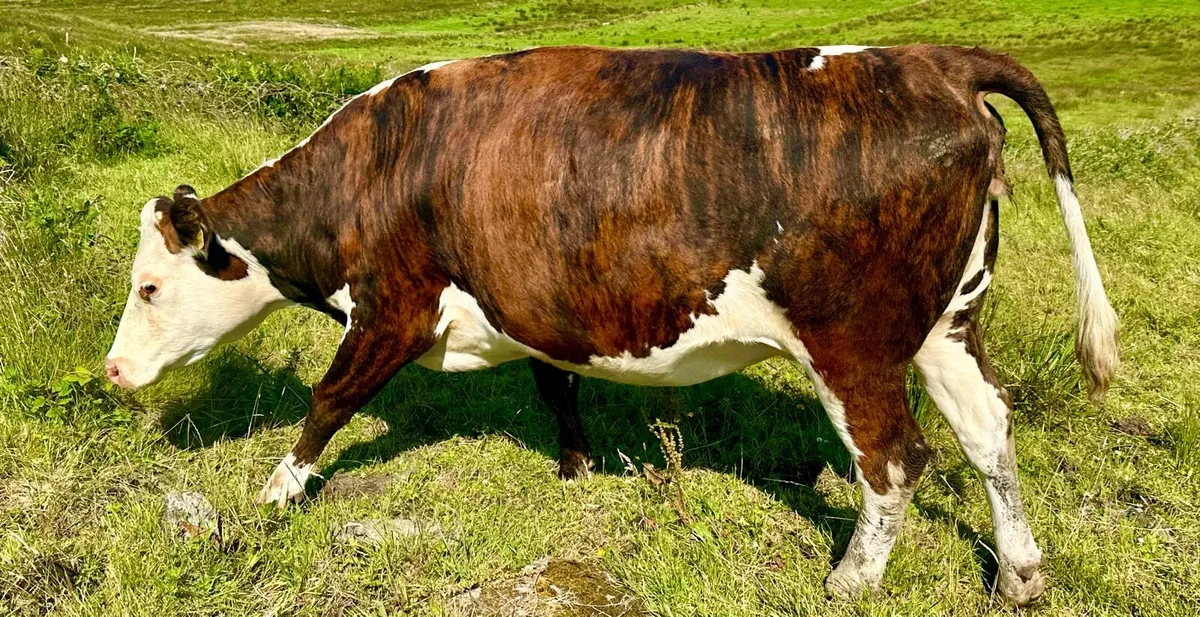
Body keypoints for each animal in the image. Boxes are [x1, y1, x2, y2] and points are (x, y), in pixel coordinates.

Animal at [104, 45, 1118, 605]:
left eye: (149, 286)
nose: (112, 371)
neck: (377, 166)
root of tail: (933, 59)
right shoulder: (534, 306)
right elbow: (557, 382)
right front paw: (577, 463)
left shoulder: (392, 306)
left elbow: (327, 401)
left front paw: (275, 491)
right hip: (950, 322)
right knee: (989, 430)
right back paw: (1020, 573)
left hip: (851, 340)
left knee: (897, 459)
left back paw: (851, 580)